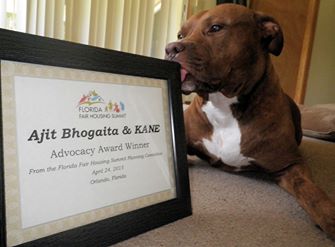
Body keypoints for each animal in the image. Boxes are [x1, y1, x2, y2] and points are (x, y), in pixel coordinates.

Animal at [167, 3, 335, 239]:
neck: (224, 106)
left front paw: (329, 217)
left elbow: (311, 192)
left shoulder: (291, 164)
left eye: (216, 28)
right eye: (180, 35)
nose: (171, 48)